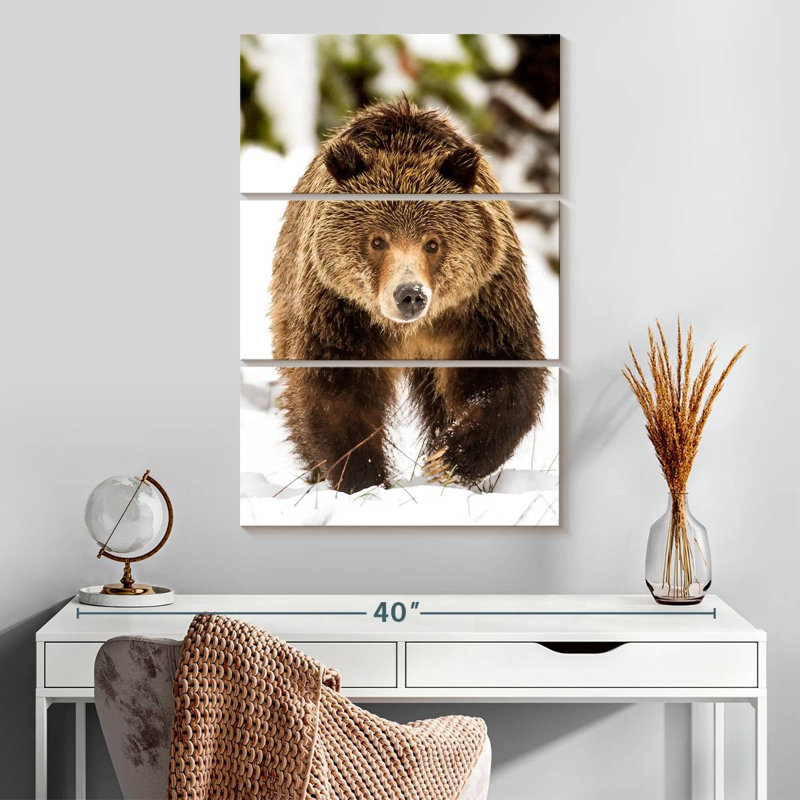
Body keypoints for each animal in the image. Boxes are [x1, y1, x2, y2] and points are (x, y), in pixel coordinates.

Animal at [270, 99, 547, 492]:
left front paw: (449, 459)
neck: (409, 330)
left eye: (432, 242)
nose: (410, 295)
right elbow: (338, 395)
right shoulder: (340, 313)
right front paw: (363, 478)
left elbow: (501, 377)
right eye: (376, 240)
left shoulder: (480, 305)